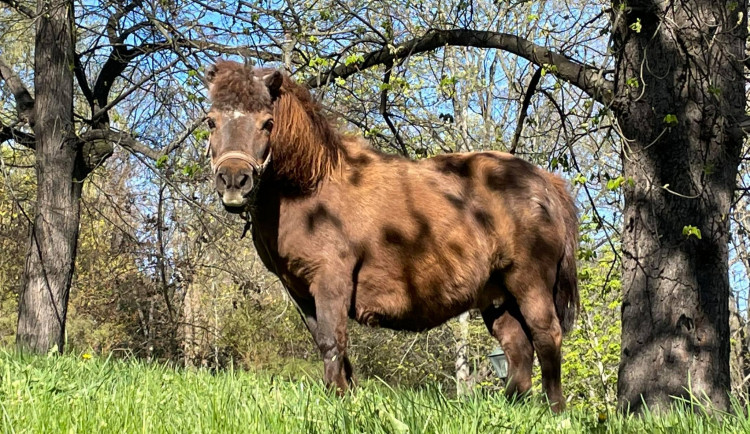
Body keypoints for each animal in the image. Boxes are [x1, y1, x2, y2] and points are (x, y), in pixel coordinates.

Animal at [201, 60, 580, 410]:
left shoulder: (331, 279)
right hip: (497, 296)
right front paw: (347, 396)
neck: (311, 188)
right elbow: (326, 342)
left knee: (546, 335)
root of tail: (545, 183)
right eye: (211, 121)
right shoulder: (300, 291)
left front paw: (338, 399)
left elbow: (333, 341)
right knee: (518, 350)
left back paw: (555, 410)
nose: (233, 180)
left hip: (528, 281)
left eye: (267, 123)